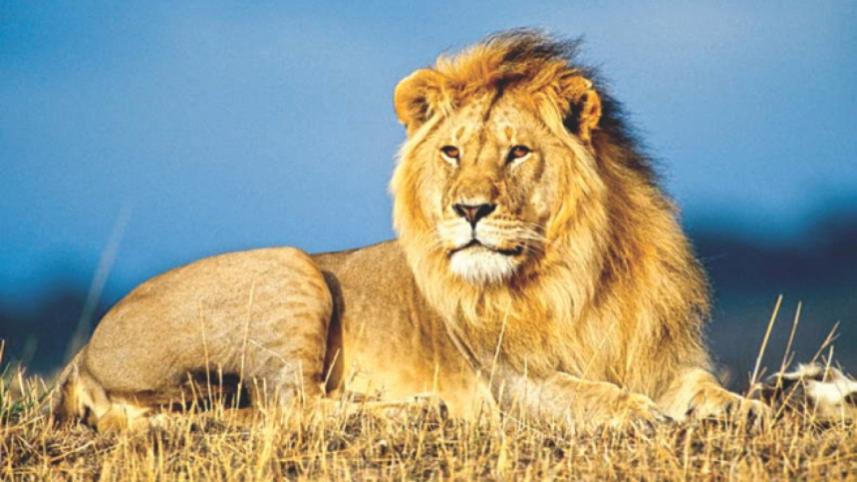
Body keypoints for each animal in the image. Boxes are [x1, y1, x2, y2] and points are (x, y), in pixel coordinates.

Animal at [52, 30, 772, 432]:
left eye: (517, 152)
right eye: (451, 152)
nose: (469, 210)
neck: (577, 274)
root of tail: (83, 354)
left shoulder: (662, 356)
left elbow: (704, 388)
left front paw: (748, 408)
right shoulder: (510, 381)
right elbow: (582, 393)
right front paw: (635, 413)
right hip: (291, 267)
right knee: (289, 406)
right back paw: (415, 410)